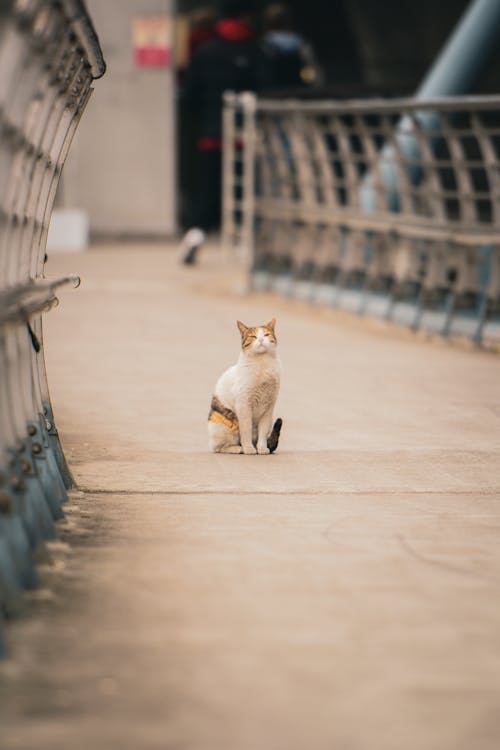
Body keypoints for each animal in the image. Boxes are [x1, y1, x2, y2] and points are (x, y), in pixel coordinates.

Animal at [207, 318, 282, 456]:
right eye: (253, 336)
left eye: (266, 334)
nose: (261, 340)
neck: (262, 364)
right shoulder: (244, 405)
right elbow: (246, 429)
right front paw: (248, 449)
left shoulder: (268, 408)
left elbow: (263, 432)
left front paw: (262, 448)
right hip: (222, 426)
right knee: (217, 447)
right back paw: (238, 448)